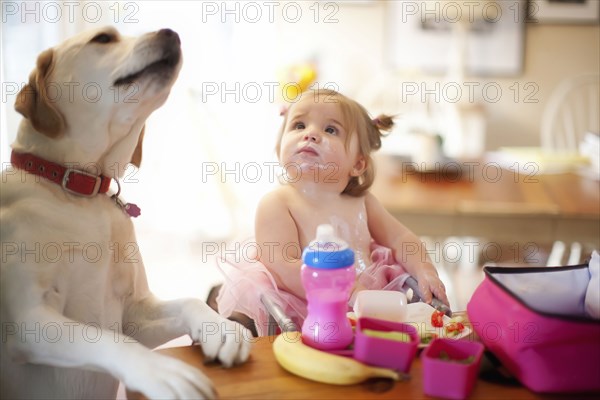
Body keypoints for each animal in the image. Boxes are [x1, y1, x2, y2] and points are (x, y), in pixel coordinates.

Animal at [0, 26, 251, 398]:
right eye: (103, 38)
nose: (171, 32)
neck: (79, 192)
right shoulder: (28, 319)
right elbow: (108, 339)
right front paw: (159, 370)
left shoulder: (135, 312)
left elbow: (190, 301)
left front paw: (219, 326)